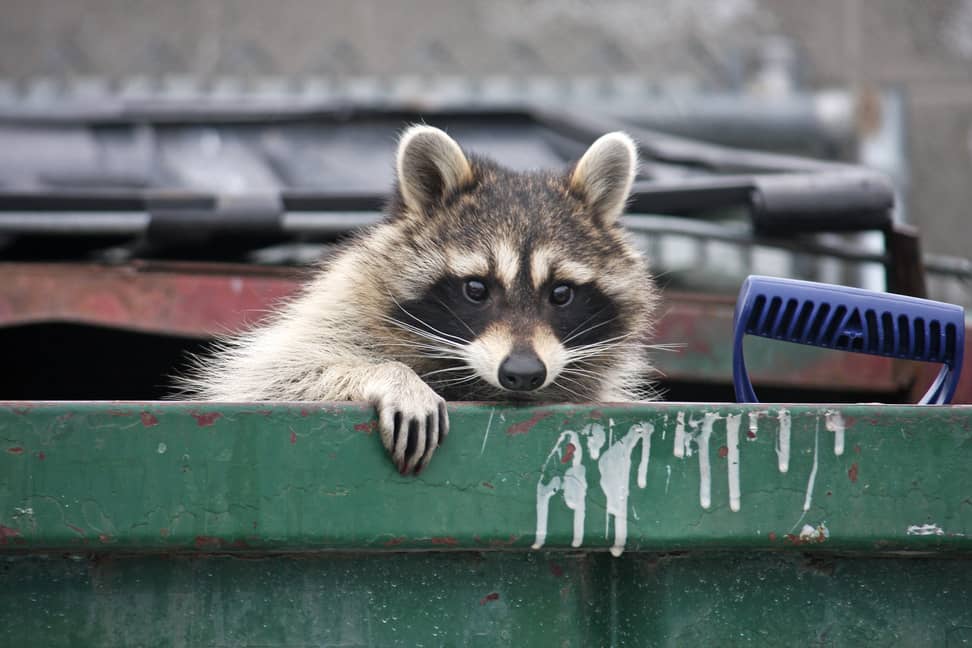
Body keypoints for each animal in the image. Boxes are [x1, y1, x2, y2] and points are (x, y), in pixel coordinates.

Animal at [178, 124, 656, 474]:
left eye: (561, 293)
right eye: (476, 288)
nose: (522, 373)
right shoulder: (335, 311)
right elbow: (272, 376)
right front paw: (391, 375)